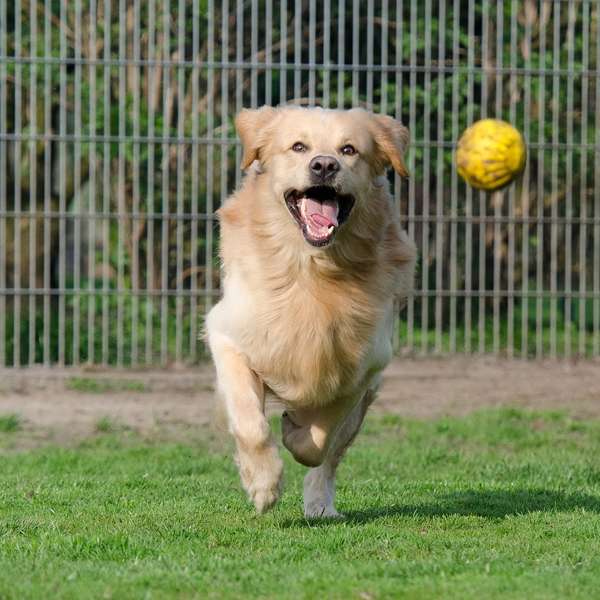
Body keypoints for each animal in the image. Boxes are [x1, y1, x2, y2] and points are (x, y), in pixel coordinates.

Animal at [206, 105, 418, 516]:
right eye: (299, 147)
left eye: (349, 150)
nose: (324, 165)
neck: (312, 270)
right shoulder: (227, 335)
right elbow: (251, 424)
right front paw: (263, 484)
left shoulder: (363, 366)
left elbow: (318, 442)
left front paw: (294, 433)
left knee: (332, 454)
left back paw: (320, 502)